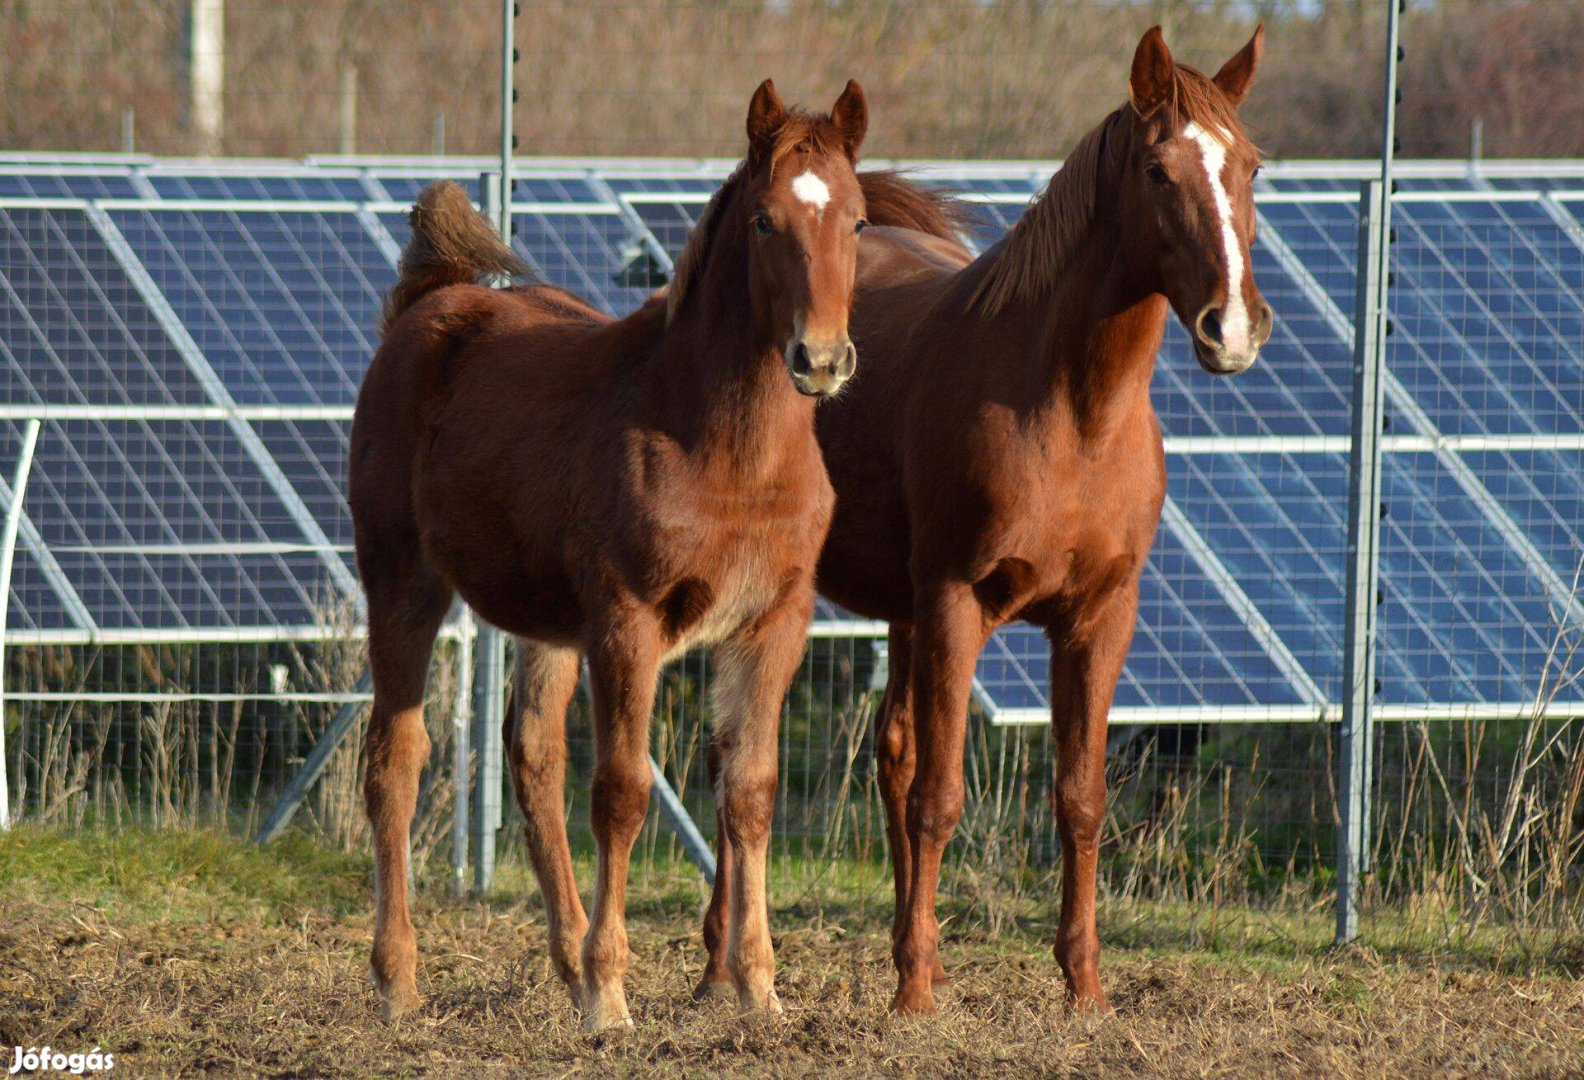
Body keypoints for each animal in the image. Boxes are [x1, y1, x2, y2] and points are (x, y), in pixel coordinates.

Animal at [350, 79, 868, 1019]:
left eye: (857, 220)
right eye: (764, 221)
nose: (820, 358)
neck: (729, 452)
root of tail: (430, 303)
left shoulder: (772, 623)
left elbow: (751, 792)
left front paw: (759, 992)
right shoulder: (628, 622)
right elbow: (623, 793)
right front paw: (609, 998)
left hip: (548, 621)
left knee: (533, 759)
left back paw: (561, 958)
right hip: (401, 581)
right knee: (395, 762)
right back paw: (400, 981)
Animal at [706, 27, 1273, 1019]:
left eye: (1250, 166)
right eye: (1158, 171)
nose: (1233, 328)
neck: (1071, 410)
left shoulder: (1099, 618)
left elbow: (1079, 798)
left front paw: (1084, 988)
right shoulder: (956, 603)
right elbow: (941, 798)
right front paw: (916, 997)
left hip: (898, 609)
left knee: (889, 755)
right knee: (740, 758)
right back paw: (719, 971)